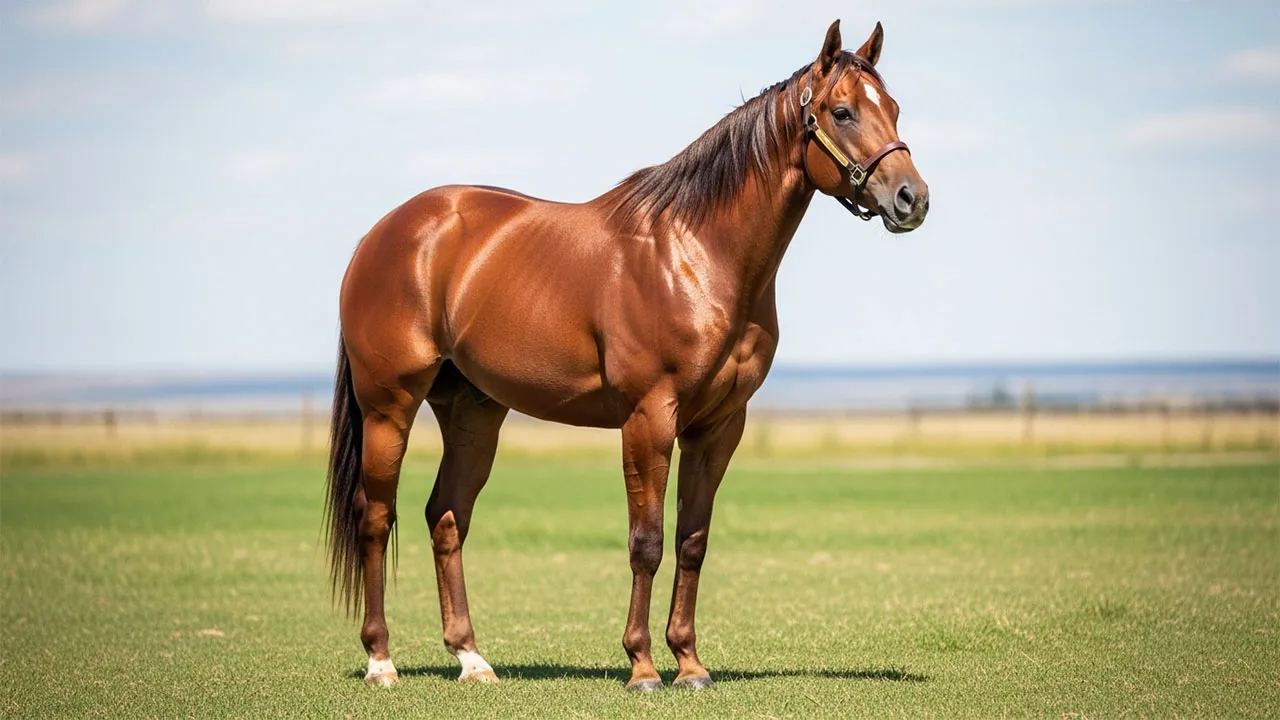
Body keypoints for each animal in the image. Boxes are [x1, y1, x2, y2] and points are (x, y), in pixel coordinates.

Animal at [325, 19, 929, 692]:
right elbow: (647, 541)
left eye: (894, 108)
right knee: (376, 518)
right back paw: (381, 661)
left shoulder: (719, 426)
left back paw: (472, 659)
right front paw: (642, 666)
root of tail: (384, 234)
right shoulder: (648, 417)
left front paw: (689, 663)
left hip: (473, 412)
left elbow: (692, 541)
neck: (695, 253)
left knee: (447, 516)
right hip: (390, 408)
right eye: (843, 112)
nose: (912, 199)